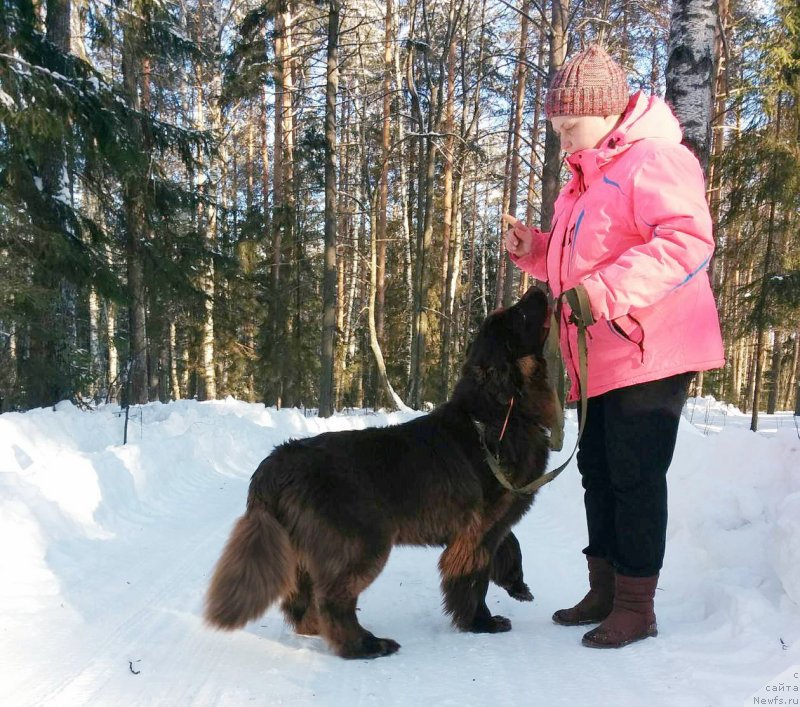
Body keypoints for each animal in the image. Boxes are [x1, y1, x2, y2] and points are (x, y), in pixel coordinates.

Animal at [206, 288, 552, 660]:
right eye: (520, 315)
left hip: (303, 549)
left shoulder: (490, 525)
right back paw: (366, 645)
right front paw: (481, 622)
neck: (497, 414)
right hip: (361, 542)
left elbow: (510, 544)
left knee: (300, 602)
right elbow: (474, 579)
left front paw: (517, 584)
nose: (539, 289)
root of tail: (275, 462)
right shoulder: (478, 530)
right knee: (332, 599)